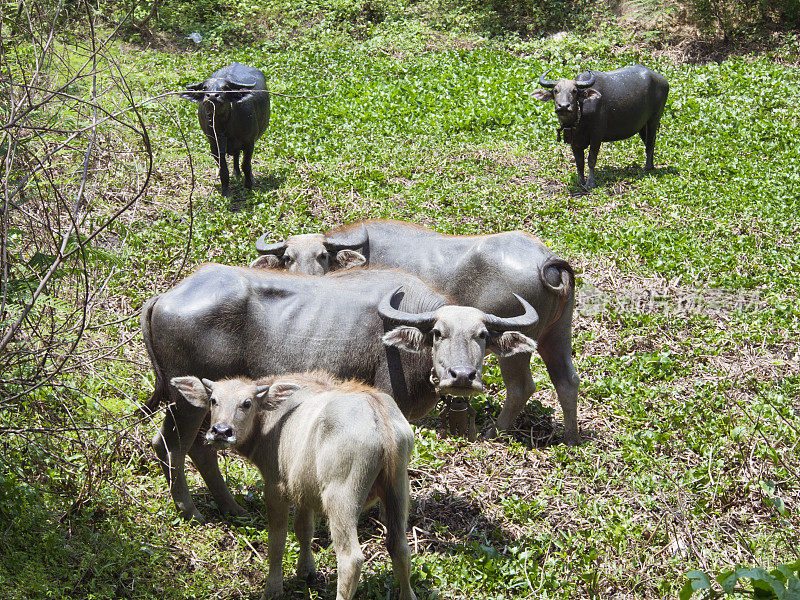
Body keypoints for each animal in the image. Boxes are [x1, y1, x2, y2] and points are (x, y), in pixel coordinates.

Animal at [143, 264, 540, 524]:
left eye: (482, 335)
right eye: (438, 333)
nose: (461, 376)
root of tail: (165, 296)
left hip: (201, 403)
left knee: (193, 447)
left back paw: (232, 508)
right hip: (188, 402)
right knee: (175, 445)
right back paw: (190, 510)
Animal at [171, 372, 416, 600]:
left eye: (247, 403)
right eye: (214, 400)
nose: (221, 431)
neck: (272, 422)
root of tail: (377, 413)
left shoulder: (275, 488)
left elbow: (277, 540)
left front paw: (272, 588)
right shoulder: (303, 491)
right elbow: (303, 530)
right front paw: (306, 571)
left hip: (341, 498)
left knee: (350, 559)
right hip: (398, 490)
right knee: (400, 547)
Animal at [180, 63, 268, 195]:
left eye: (226, 87)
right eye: (205, 87)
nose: (212, 96)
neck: (226, 125)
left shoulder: (249, 142)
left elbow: (246, 165)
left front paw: (248, 186)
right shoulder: (215, 145)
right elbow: (223, 169)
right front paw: (225, 191)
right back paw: (236, 174)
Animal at [253, 220, 580, 446]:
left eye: (322, 255)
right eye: (288, 257)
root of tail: (547, 259)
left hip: (515, 350)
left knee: (521, 387)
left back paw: (495, 432)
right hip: (557, 334)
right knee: (567, 380)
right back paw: (571, 438)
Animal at [532, 64, 668, 189]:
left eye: (574, 91)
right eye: (556, 90)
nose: (564, 106)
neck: (580, 117)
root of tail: (664, 81)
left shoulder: (596, 135)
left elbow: (591, 159)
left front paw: (590, 183)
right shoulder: (574, 140)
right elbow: (579, 162)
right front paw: (580, 181)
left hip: (654, 118)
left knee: (650, 143)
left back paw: (648, 167)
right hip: (642, 126)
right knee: (649, 142)